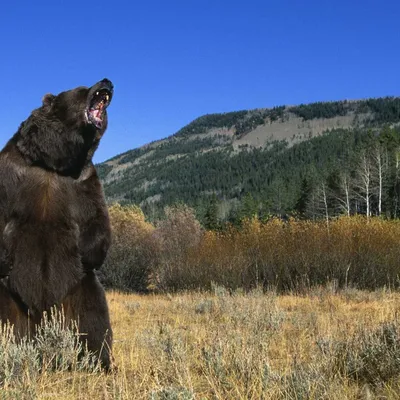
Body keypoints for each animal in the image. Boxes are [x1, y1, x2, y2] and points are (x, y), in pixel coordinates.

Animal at [0, 79, 114, 370]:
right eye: (83, 87)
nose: (107, 81)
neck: (53, 163)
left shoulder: (84, 182)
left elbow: (97, 222)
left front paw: (86, 249)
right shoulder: (12, 171)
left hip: (78, 291)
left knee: (94, 321)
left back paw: (100, 363)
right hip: (7, 294)